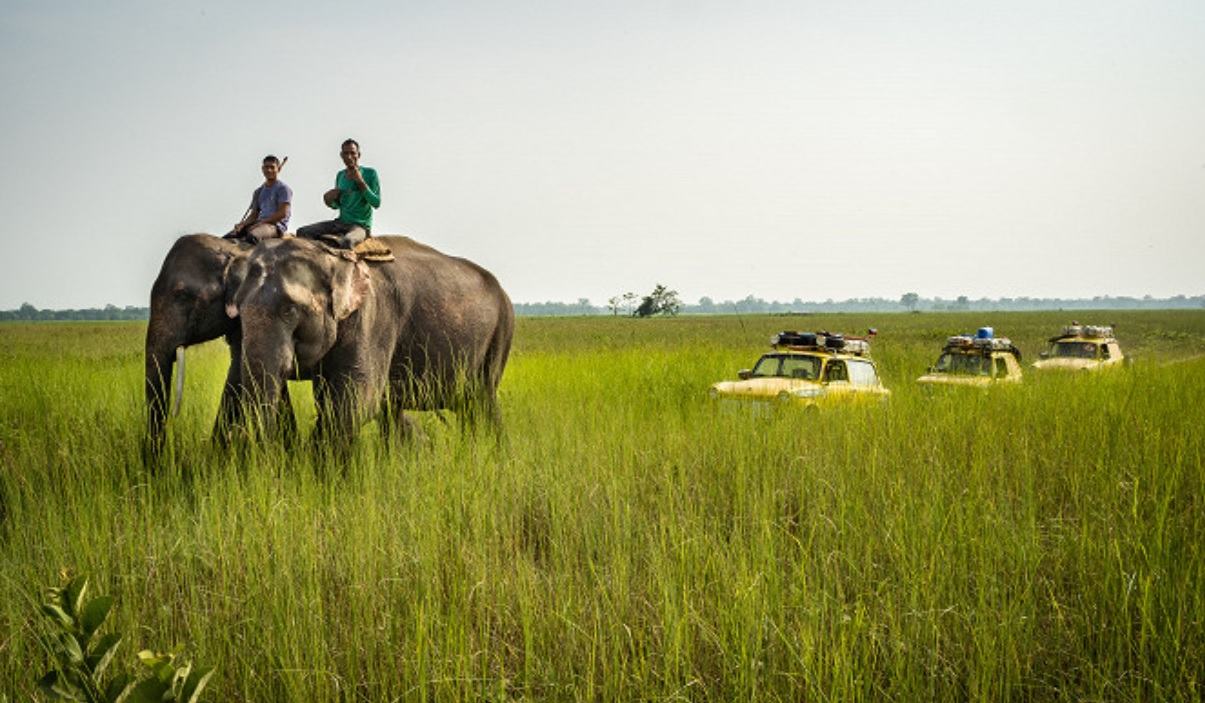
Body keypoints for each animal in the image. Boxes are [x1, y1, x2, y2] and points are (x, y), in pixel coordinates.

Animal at [228, 236, 513, 446]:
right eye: (238, 311)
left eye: (289, 310)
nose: (237, 436)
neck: (332, 256)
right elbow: (329, 401)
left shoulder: (374, 317)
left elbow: (354, 404)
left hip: (502, 331)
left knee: (482, 400)